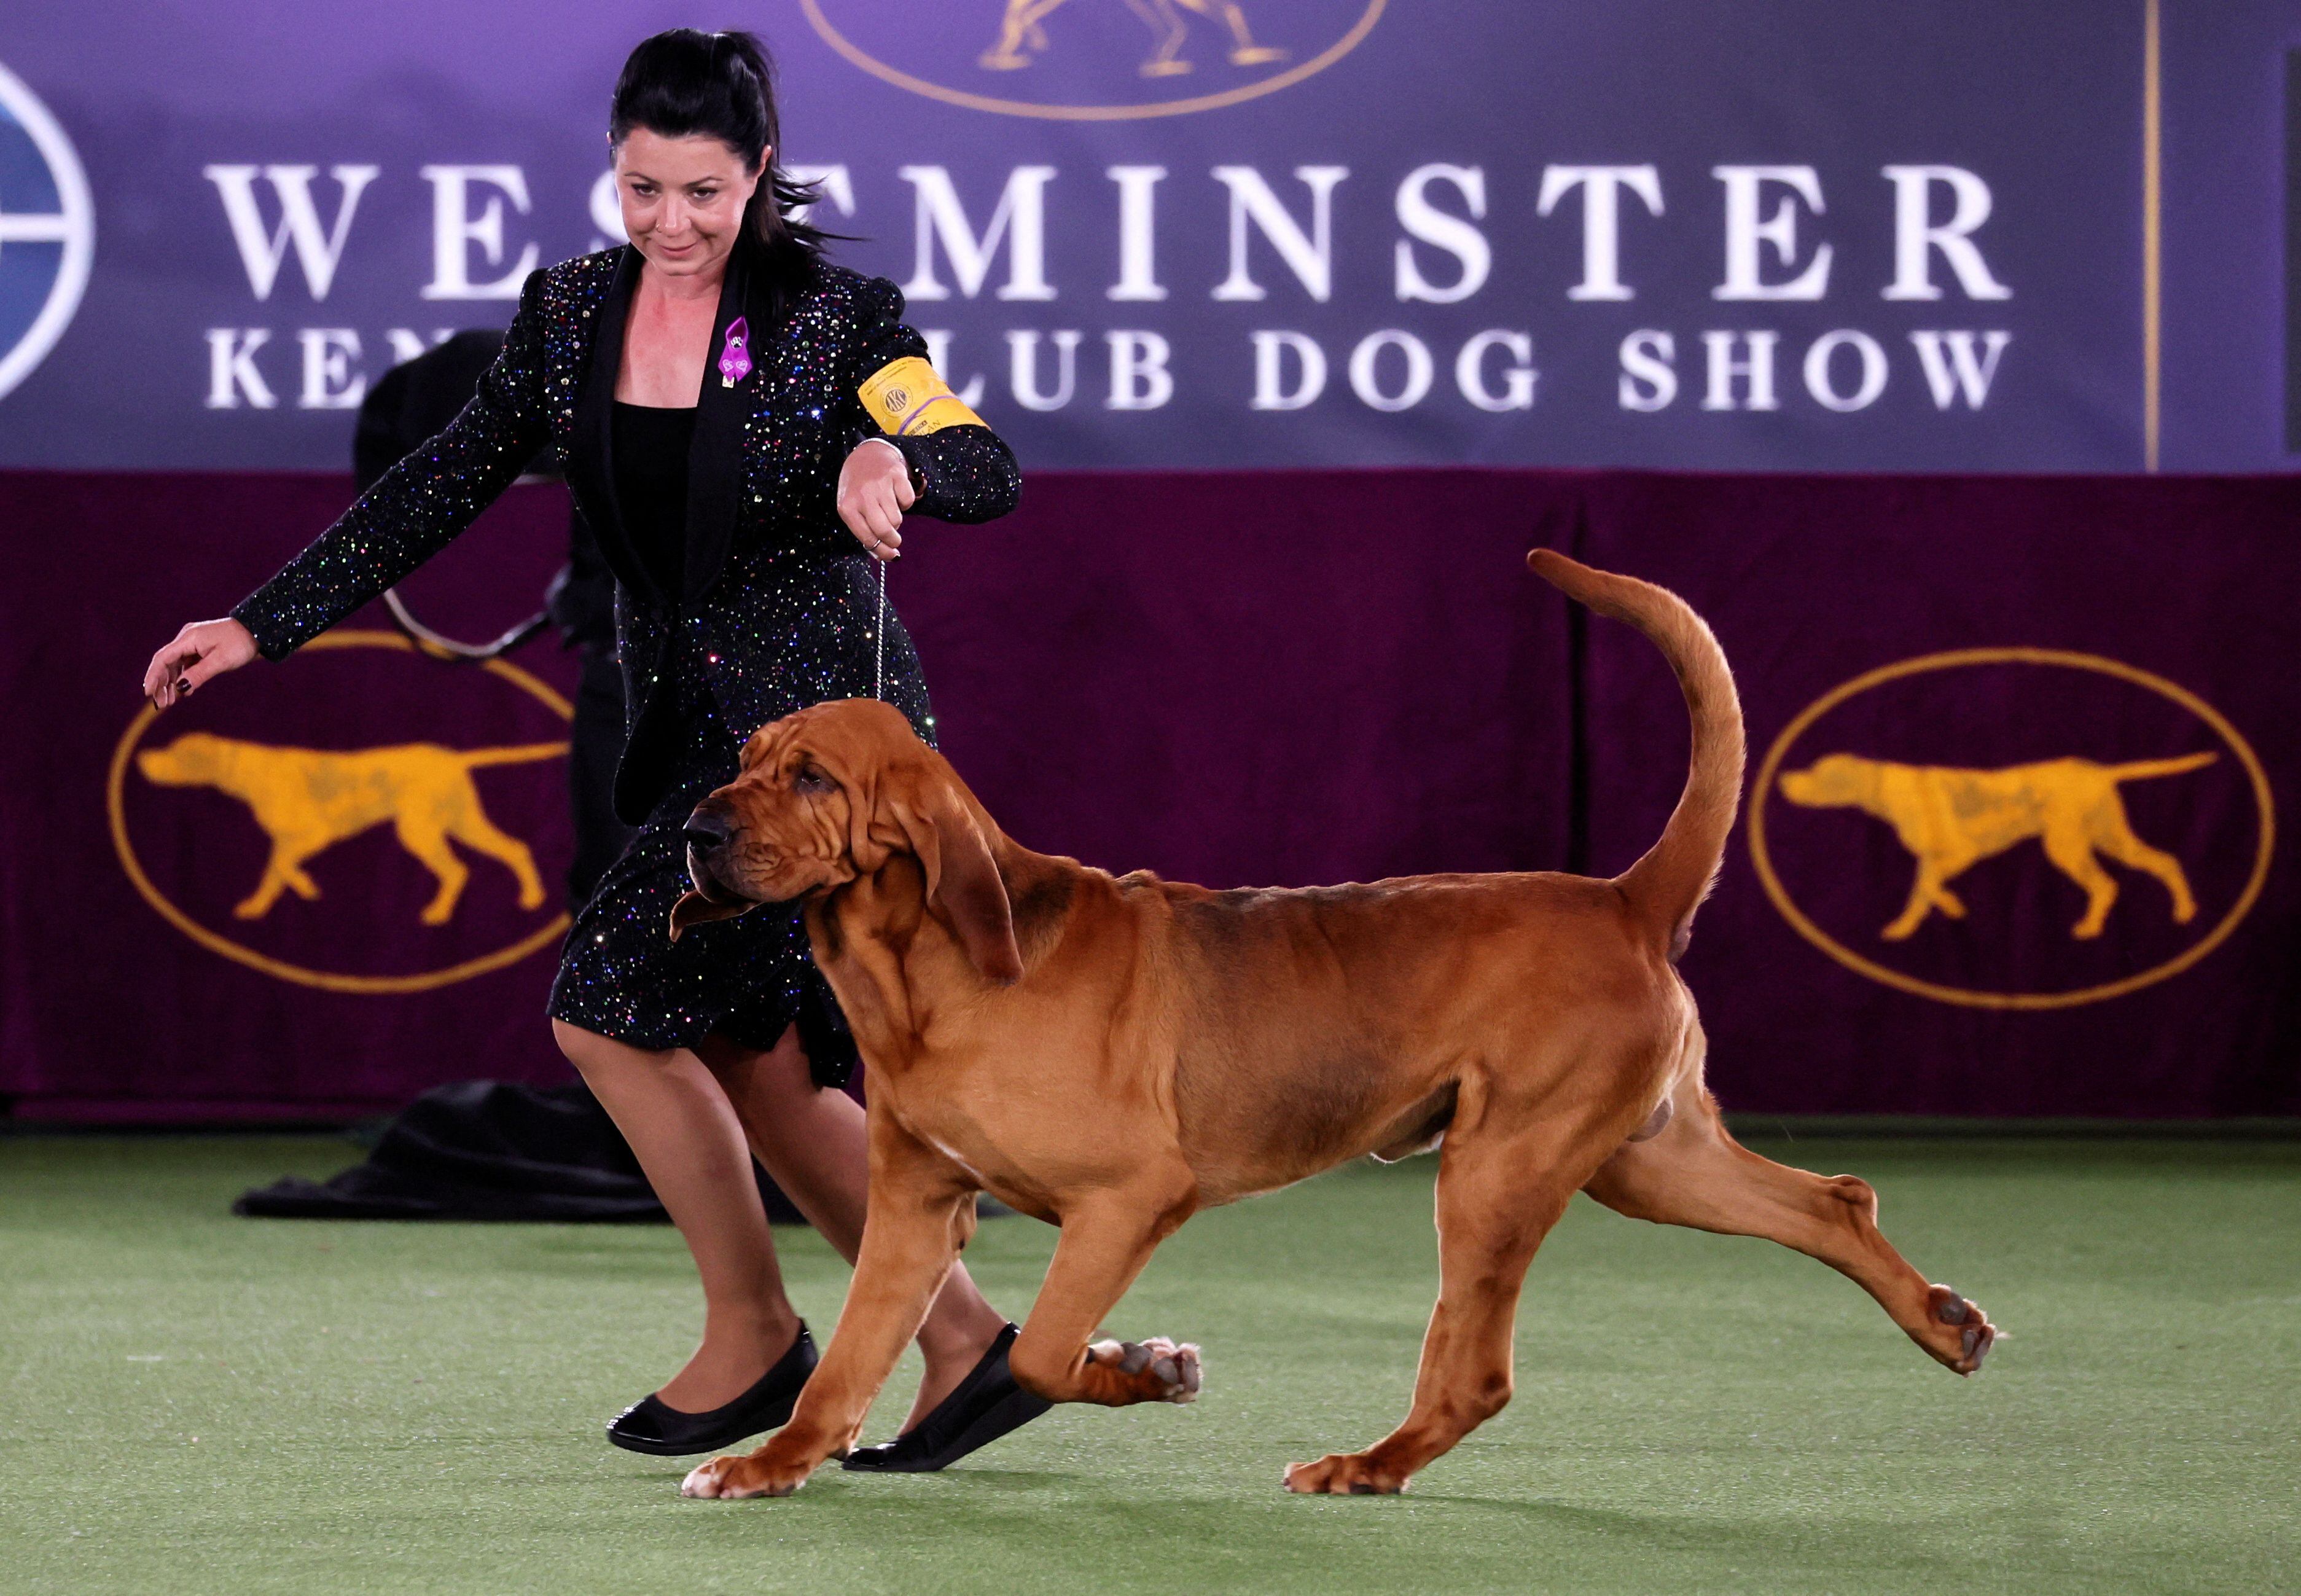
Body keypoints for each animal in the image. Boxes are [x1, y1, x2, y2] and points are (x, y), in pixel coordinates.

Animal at [667, 556, 1997, 1508]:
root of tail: (1624, 898)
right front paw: (767, 1463)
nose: (693, 832)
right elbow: (845, 1361)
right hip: (1646, 1162)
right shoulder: (909, 1208)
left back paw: (1368, 1464)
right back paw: (1943, 1323)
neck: (923, 970)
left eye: (812, 780)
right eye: (744, 757)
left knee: (1477, 1371)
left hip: (1499, 1171)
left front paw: (1143, 1369)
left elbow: (1041, 1352)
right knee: (1831, 1201)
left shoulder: (1128, 1197)